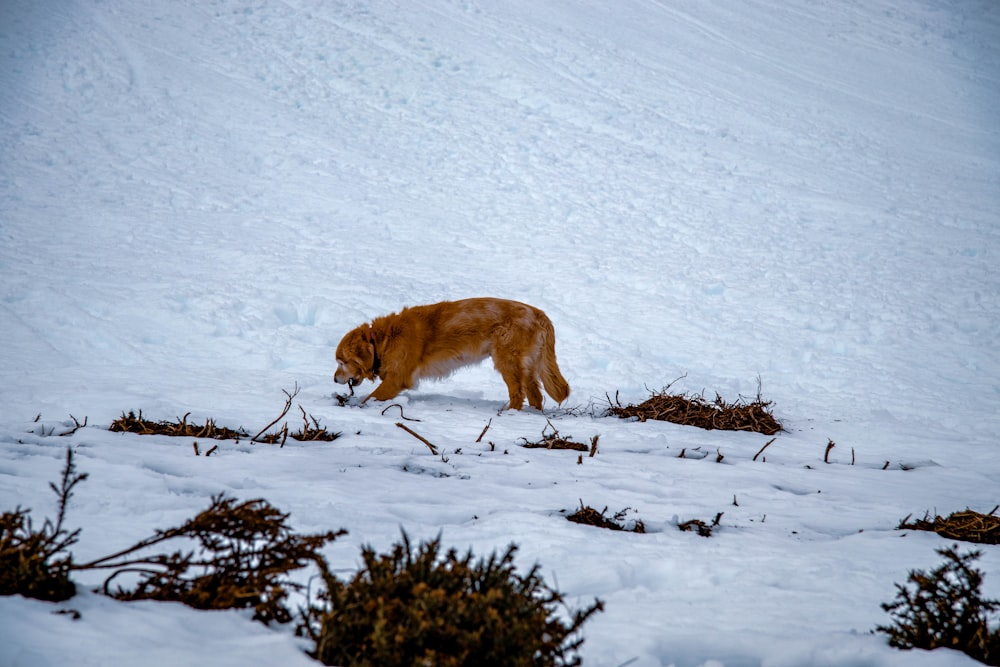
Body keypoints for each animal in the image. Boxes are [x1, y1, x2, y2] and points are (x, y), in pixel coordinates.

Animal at [336, 296, 572, 408]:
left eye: (342, 362)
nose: (335, 379)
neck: (384, 339)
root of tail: (539, 313)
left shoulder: (397, 379)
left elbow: (371, 398)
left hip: (507, 362)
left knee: (518, 394)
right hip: (528, 365)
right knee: (536, 396)